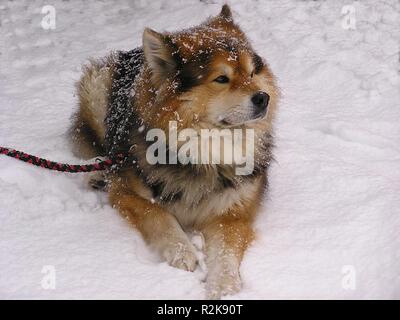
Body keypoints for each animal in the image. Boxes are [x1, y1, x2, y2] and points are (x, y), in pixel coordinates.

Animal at [70, 5, 278, 298]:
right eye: (221, 79)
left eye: (251, 73)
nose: (263, 98)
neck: (205, 151)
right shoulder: (126, 193)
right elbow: (158, 214)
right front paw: (182, 251)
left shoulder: (234, 212)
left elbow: (225, 253)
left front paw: (224, 286)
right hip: (97, 89)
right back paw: (97, 175)